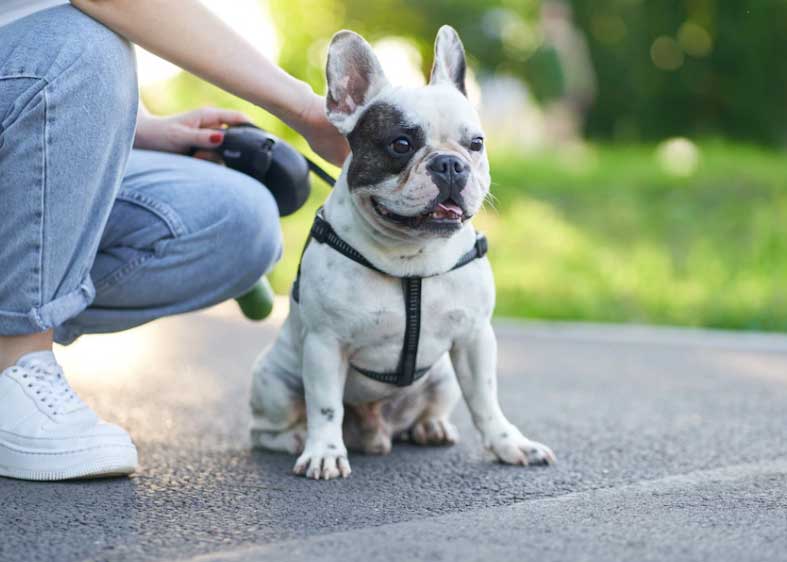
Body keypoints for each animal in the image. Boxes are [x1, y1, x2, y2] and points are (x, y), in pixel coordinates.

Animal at [251, 24, 556, 474]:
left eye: (476, 143)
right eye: (400, 144)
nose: (449, 164)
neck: (413, 258)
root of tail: (375, 431)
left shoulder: (475, 339)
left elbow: (486, 400)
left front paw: (509, 444)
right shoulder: (325, 345)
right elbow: (325, 406)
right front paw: (324, 452)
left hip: (442, 378)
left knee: (429, 409)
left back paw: (431, 427)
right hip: (272, 380)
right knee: (268, 427)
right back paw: (293, 439)